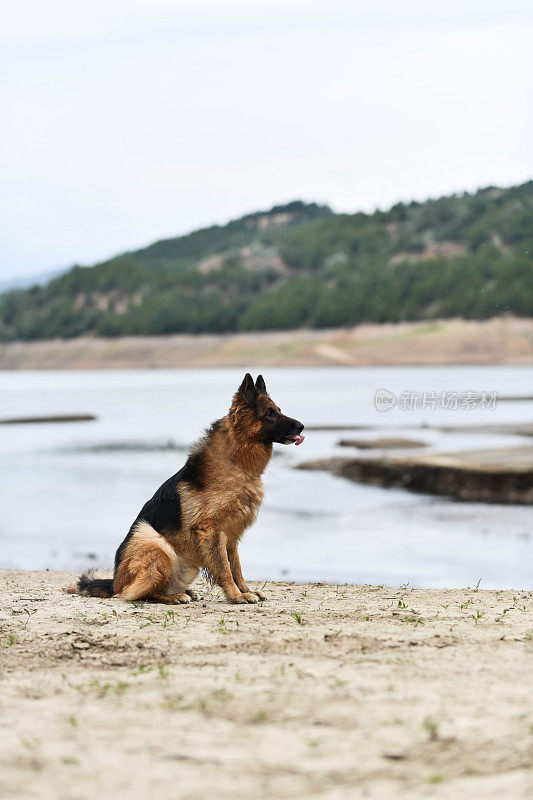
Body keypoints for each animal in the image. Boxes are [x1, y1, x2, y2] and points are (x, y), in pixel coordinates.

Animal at [70, 376, 304, 608]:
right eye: (270, 413)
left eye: (278, 410)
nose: (302, 427)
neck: (233, 462)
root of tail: (114, 582)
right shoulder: (212, 531)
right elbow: (224, 568)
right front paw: (236, 596)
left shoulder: (231, 535)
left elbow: (236, 567)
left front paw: (245, 591)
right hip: (154, 542)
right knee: (134, 594)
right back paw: (174, 597)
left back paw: (184, 592)